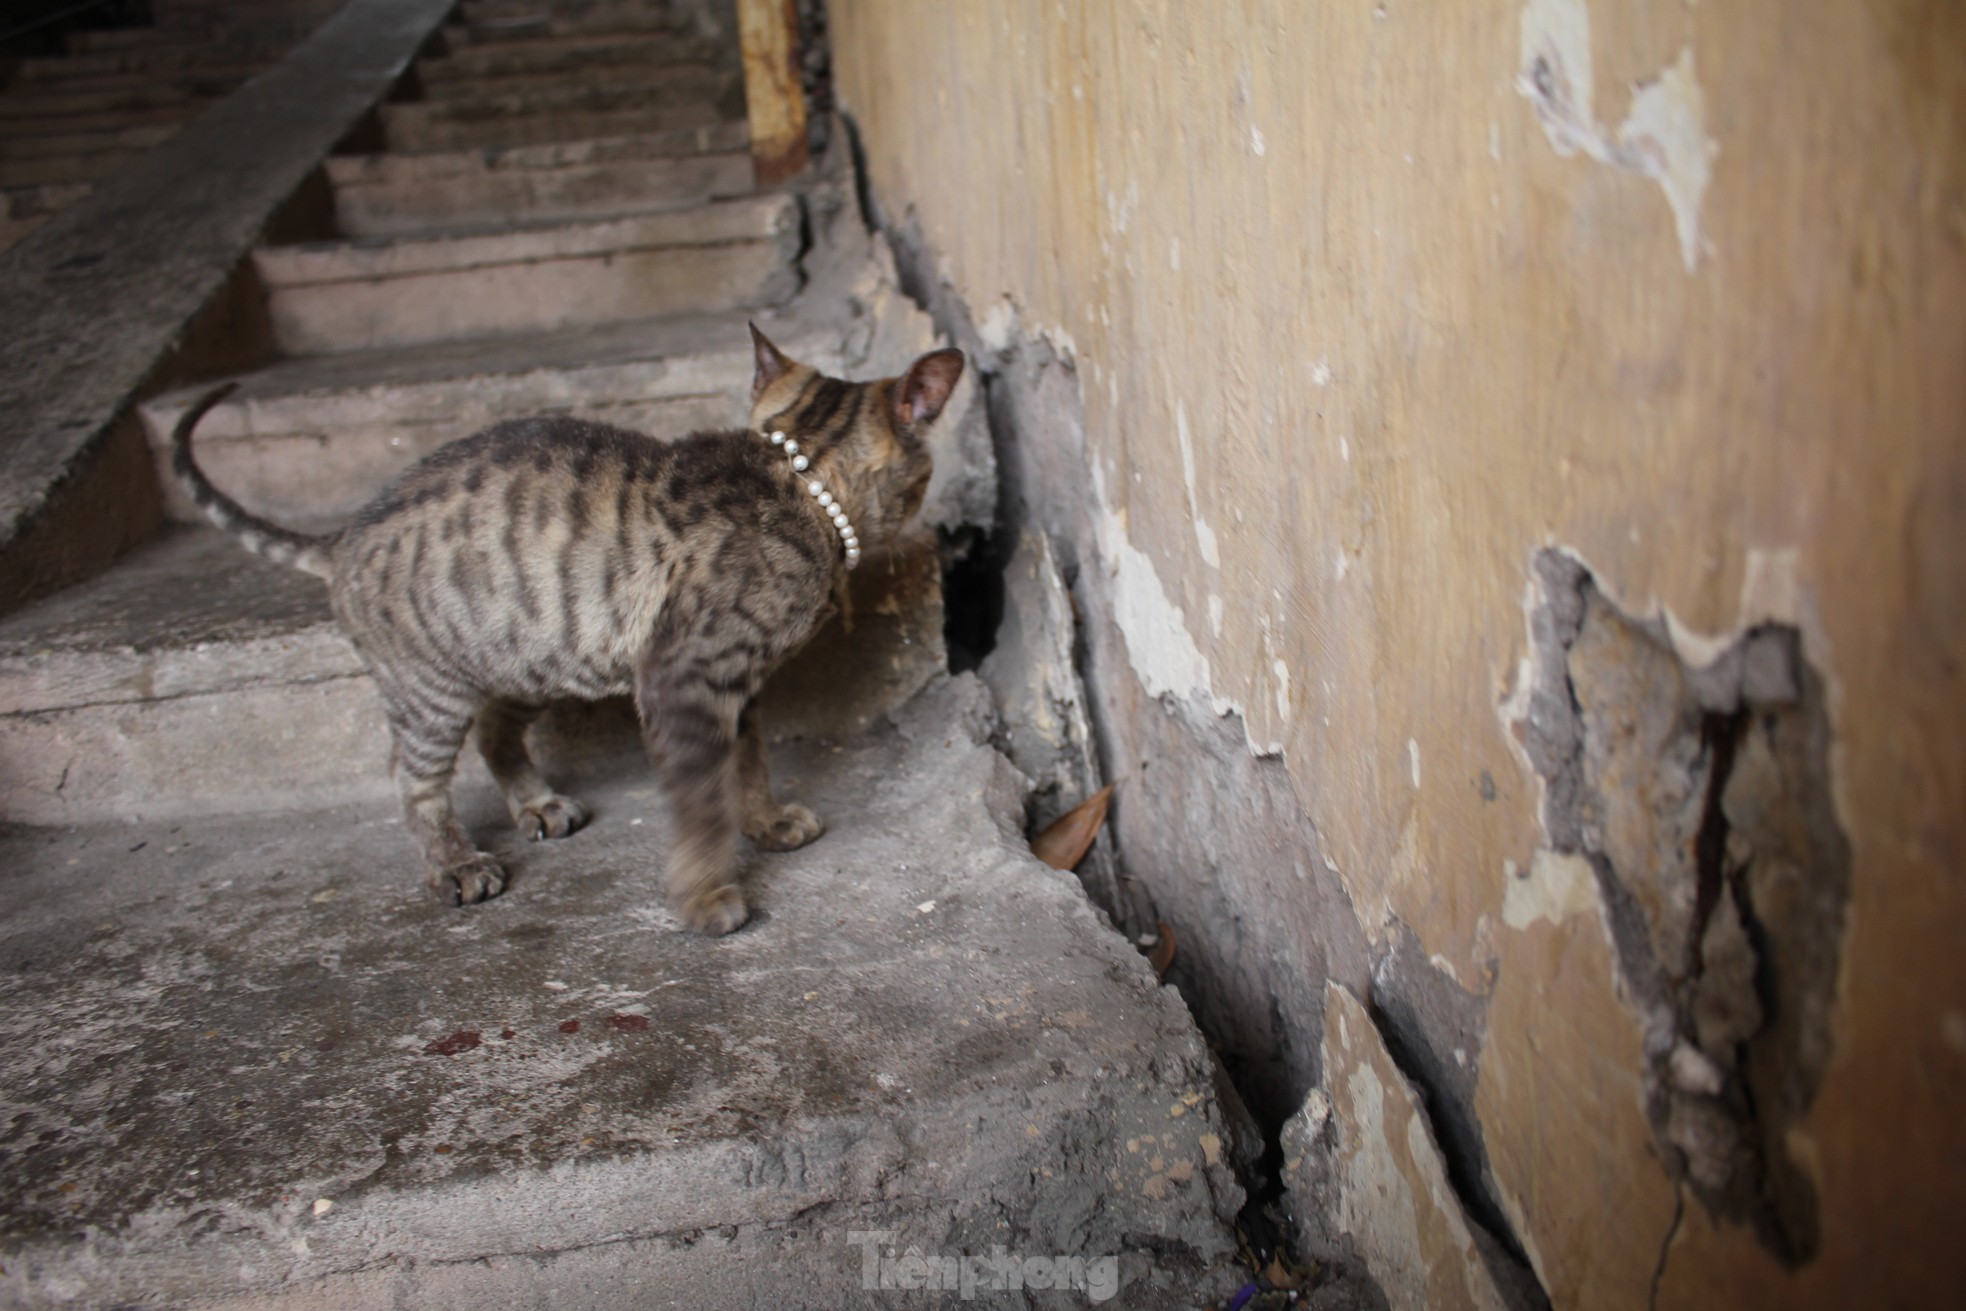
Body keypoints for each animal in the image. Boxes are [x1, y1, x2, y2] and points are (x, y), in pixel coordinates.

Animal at [173, 334, 963, 939]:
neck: (797, 475)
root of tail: (343, 535)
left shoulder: (737, 688)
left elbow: (748, 765)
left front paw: (765, 821)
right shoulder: (683, 679)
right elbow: (701, 804)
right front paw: (703, 895)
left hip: (532, 652)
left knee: (494, 731)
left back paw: (537, 803)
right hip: (433, 687)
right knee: (412, 777)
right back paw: (454, 863)